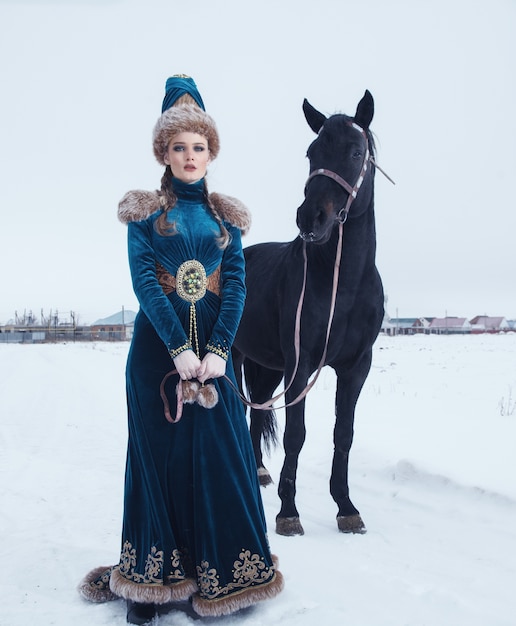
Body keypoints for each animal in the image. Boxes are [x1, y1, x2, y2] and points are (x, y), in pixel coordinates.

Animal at [232, 90, 384, 532]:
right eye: (312, 152)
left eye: (355, 151)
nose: (310, 217)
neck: (342, 287)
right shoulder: (301, 367)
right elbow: (295, 435)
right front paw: (288, 513)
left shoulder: (356, 367)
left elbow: (343, 433)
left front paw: (346, 507)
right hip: (236, 357)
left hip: (267, 366)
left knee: (257, 412)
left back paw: (257, 471)